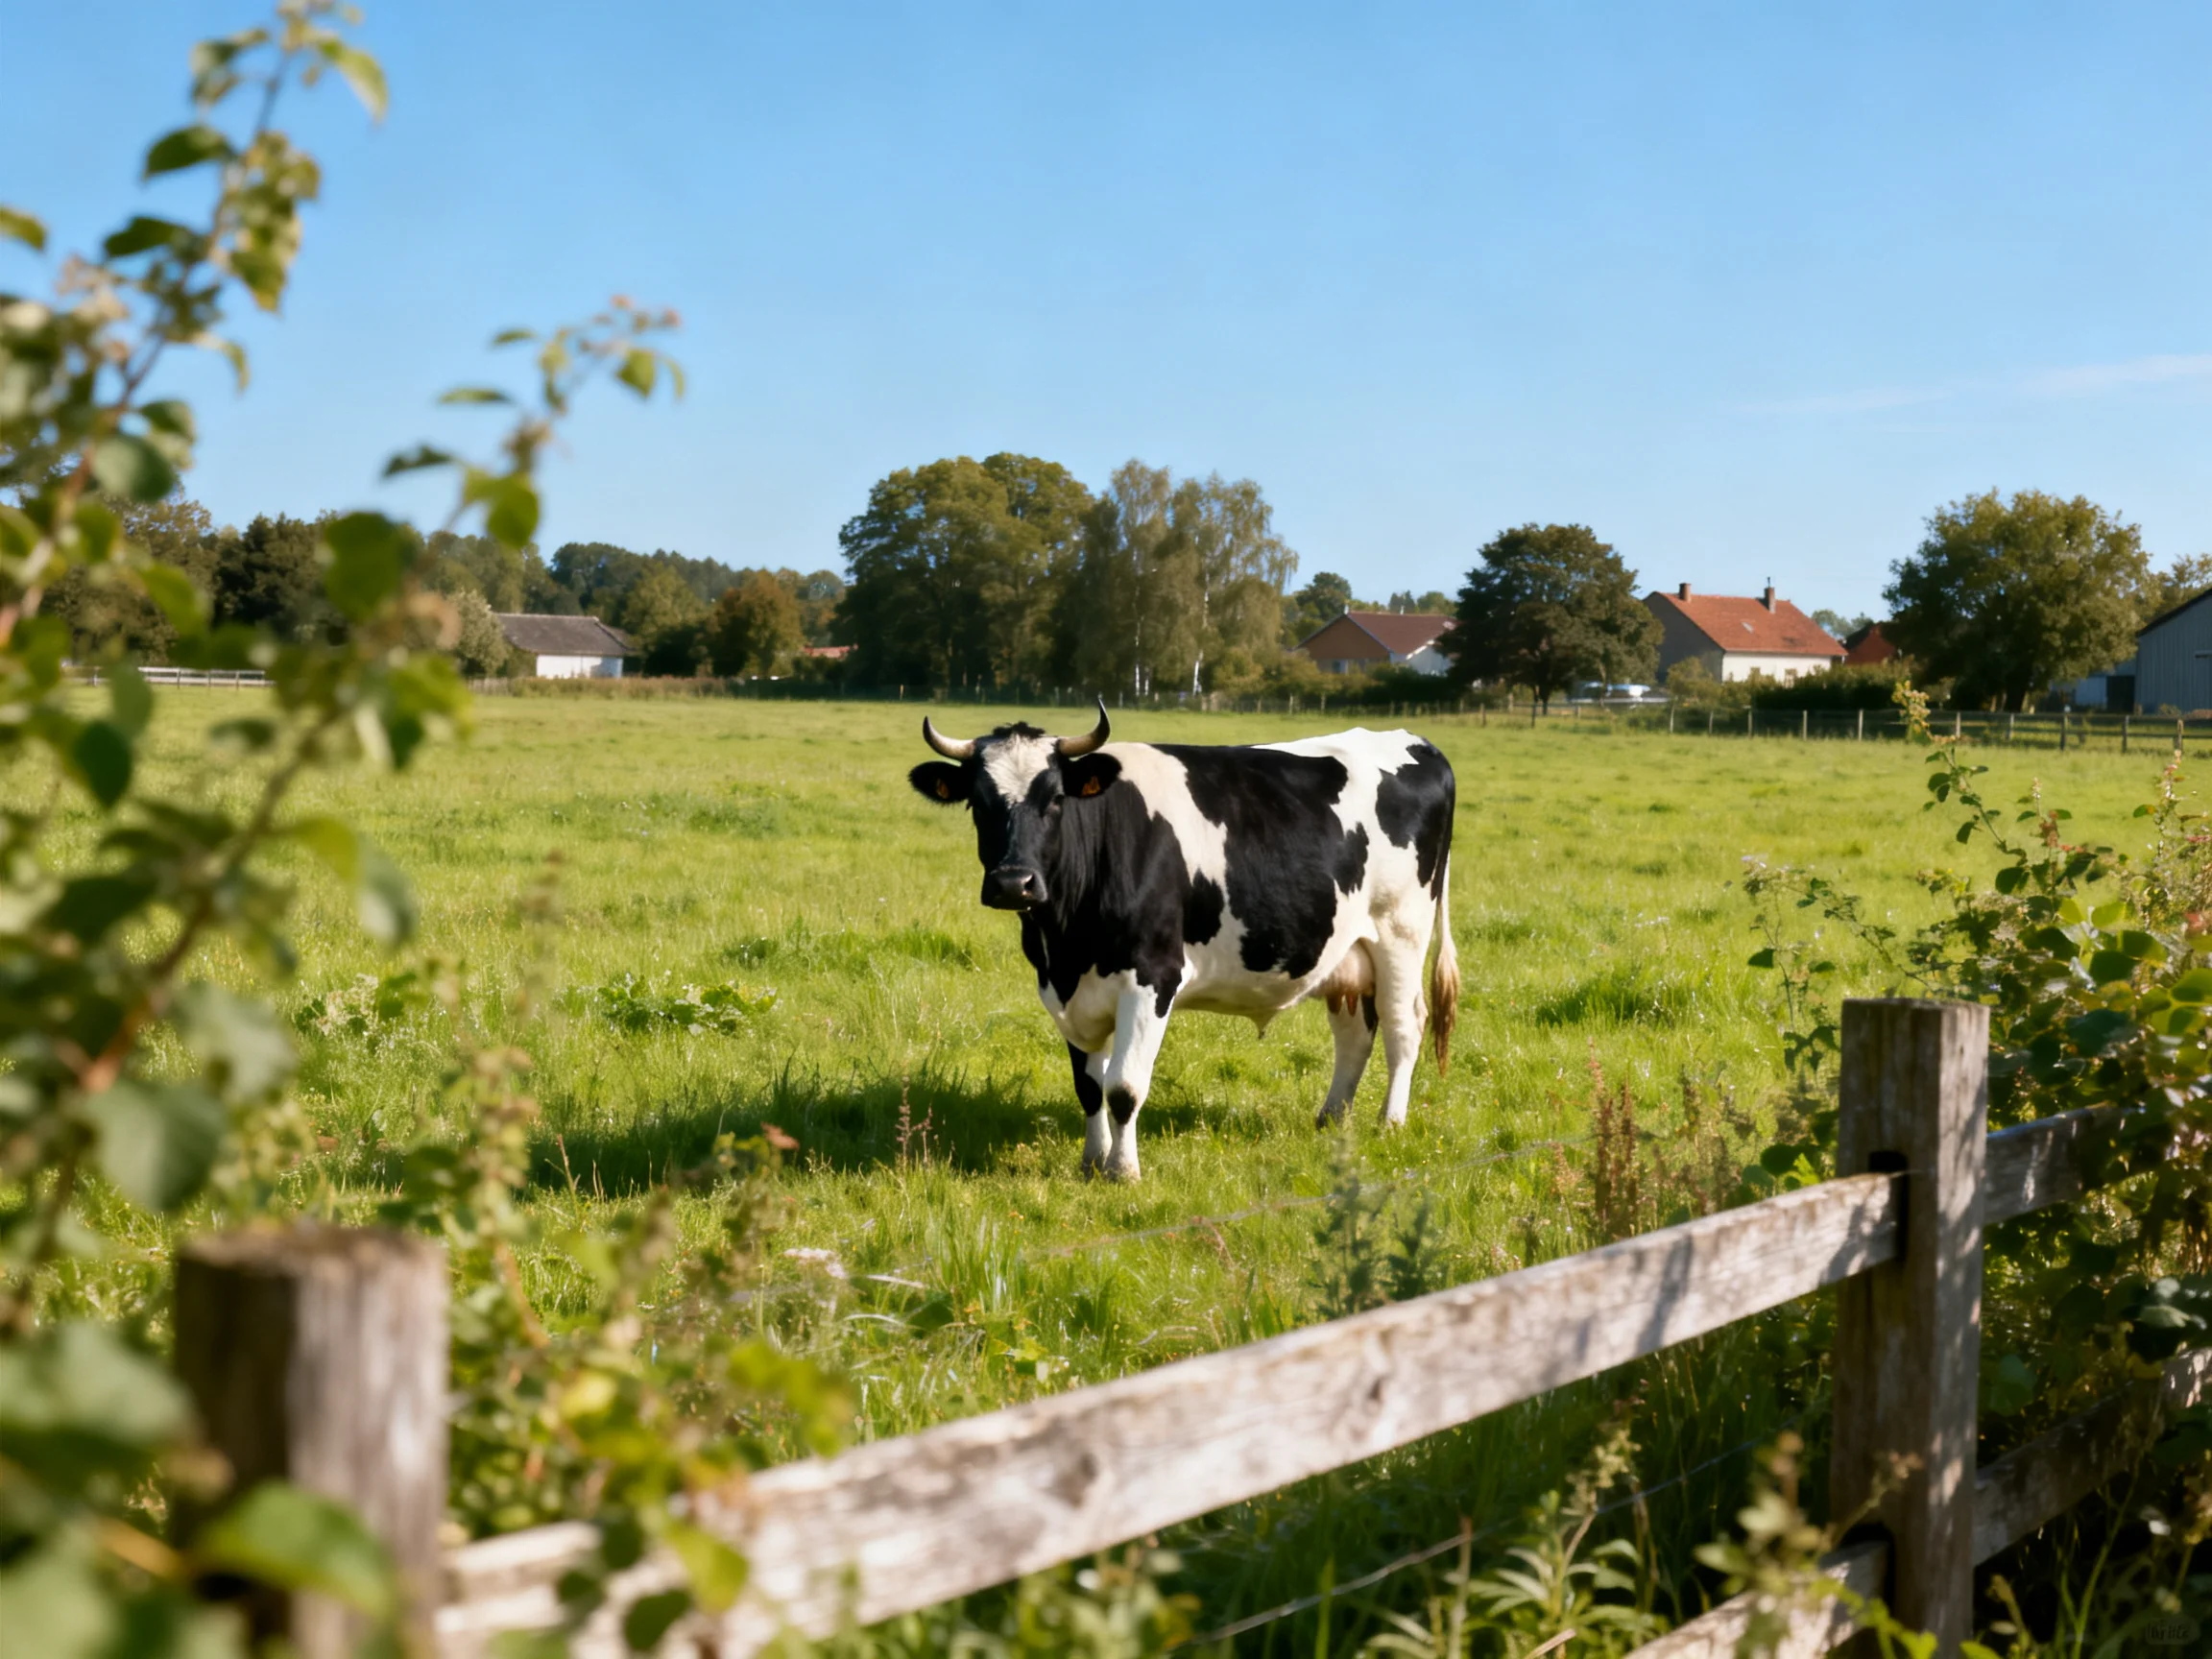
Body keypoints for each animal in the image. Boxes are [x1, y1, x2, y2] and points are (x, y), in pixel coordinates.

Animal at [909, 699, 1457, 1180]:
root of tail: (1417, 743)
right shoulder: (1064, 989)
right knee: (1354, 1033)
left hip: (1400, 933)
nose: (1012, 883)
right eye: (977, 803)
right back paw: (1332, 1117)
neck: (1065, 943)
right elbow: (1088, 1087)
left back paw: (1390, 1123)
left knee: (1403, 1026)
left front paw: (1123, 1171)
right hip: (1344, 952)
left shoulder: (1152, 977)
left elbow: (1123, 1087)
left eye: (1056, 799)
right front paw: (1091, 1162)